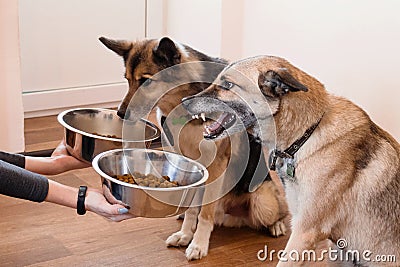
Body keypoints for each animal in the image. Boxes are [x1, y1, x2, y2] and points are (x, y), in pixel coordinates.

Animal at [99, 38, 288, 262]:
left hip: (263, 203)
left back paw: (277, 225)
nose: (120, 114)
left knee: (280, 211)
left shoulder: (215, 168)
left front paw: (198, 244)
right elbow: (192, 210)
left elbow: (205, 215)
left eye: (145, 81)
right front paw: (185, 235)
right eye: (127, 79)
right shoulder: (189, 166)